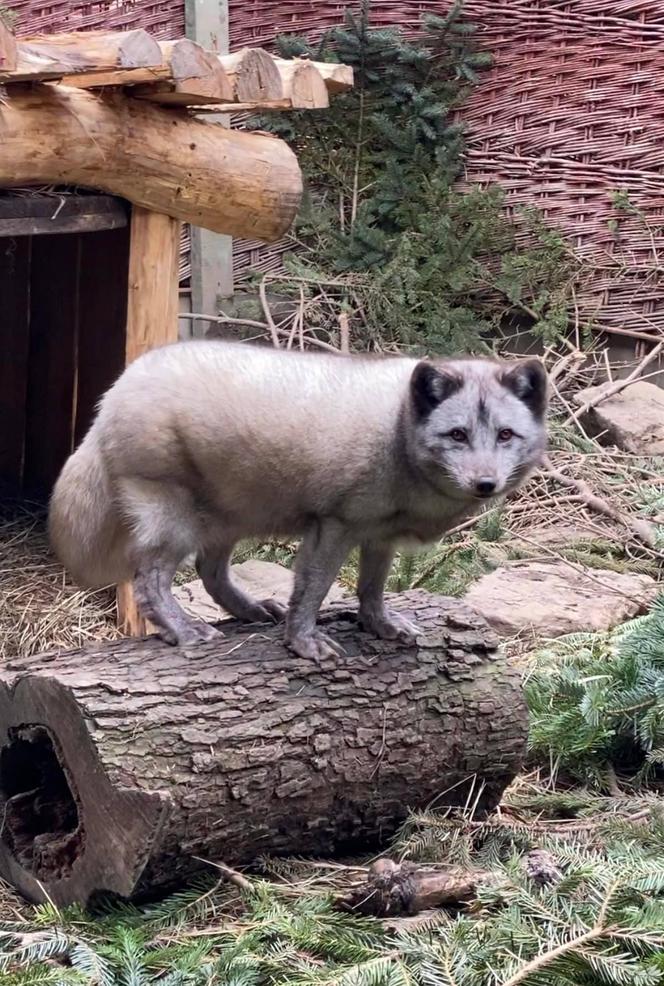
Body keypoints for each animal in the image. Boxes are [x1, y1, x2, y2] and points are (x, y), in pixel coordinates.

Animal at [49, 342, 548, 656]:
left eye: (505, 435)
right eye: (457, 435)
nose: (485, 483)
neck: (398, 431)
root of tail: (114, 392)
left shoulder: (379, 536)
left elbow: (372, 587)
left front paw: (380, 624)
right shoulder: (334, 525)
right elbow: (313, 588)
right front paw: (304, 643)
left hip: (230, 518)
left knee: (211, 574)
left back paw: (252, 610)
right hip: (175, 520)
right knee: (149, 582)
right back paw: (185, 629)